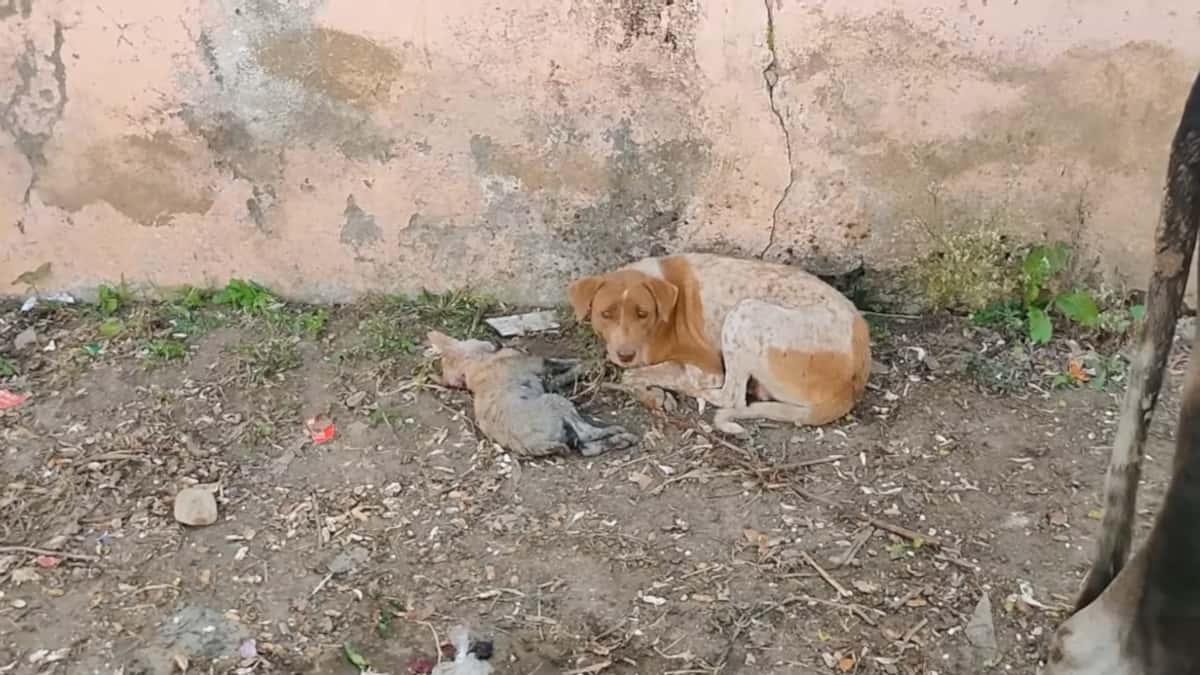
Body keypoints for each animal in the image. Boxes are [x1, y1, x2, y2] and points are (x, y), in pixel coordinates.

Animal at [429, 331, 643, 456]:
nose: (495, 342)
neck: (472, 365)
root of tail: (533, 444)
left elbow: (560, 374)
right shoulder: (539, 363)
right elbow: (568, 364)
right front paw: (591, 364)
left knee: (587, 448)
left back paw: (620, 441)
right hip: (556, 403)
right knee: (587, 436)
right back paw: (618, 433)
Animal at [566, 251, 868, 429]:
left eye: (643, 313)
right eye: (606, 314)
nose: (625, 354)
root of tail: (853, 383)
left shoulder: (707, 367)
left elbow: (637, 375)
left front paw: (655, 391)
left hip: (745, 314)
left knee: (732, 397)